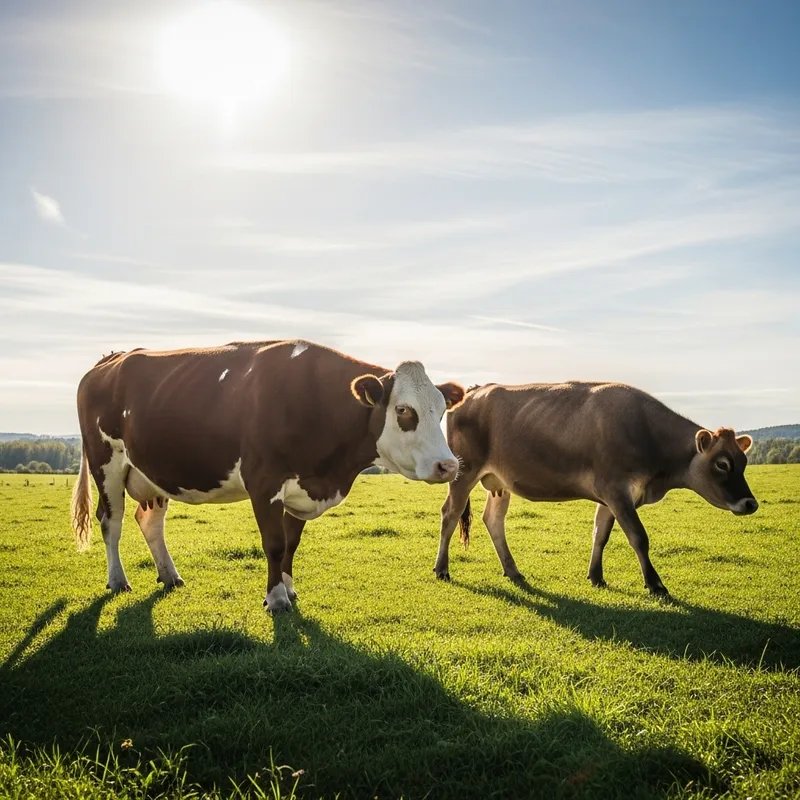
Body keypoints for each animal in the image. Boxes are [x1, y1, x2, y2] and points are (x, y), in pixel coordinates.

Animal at [70, 340, 465, 611]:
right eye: (403, 410)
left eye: (442, 409)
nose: (448, 466)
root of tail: (110, 359)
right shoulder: (264, 482)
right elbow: (274, 543)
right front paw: (275, 599)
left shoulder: (302, 485)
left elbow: (291, 544)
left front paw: (289, 589)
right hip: (106, 462)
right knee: (111, 520)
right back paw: (118, 581)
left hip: (151, 472)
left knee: (149, 520)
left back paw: (170, 575)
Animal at [433, 381, 759, 597]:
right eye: (722, 464)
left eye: (743, 461)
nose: (750, 503)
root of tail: (475, 390)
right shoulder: (616, 490)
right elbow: (639, 537)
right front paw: (655, 584)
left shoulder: (610, 495)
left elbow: (600, 534)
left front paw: (596, 576)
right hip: (463, 471)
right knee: (450, 514)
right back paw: (442, 568)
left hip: (499, 483)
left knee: (493, 520)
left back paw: (513, 570)